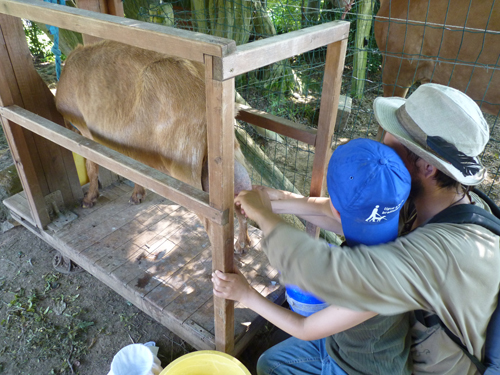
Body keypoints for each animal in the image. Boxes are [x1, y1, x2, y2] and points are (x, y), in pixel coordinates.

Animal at [56, 39, 252, 253]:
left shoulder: (86, 132)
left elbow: (92, 167)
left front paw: (89, 199)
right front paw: (137, 194)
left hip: (186, 170)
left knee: (212, 223)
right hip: (230, 160)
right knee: (240, 201)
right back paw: (242, 243)